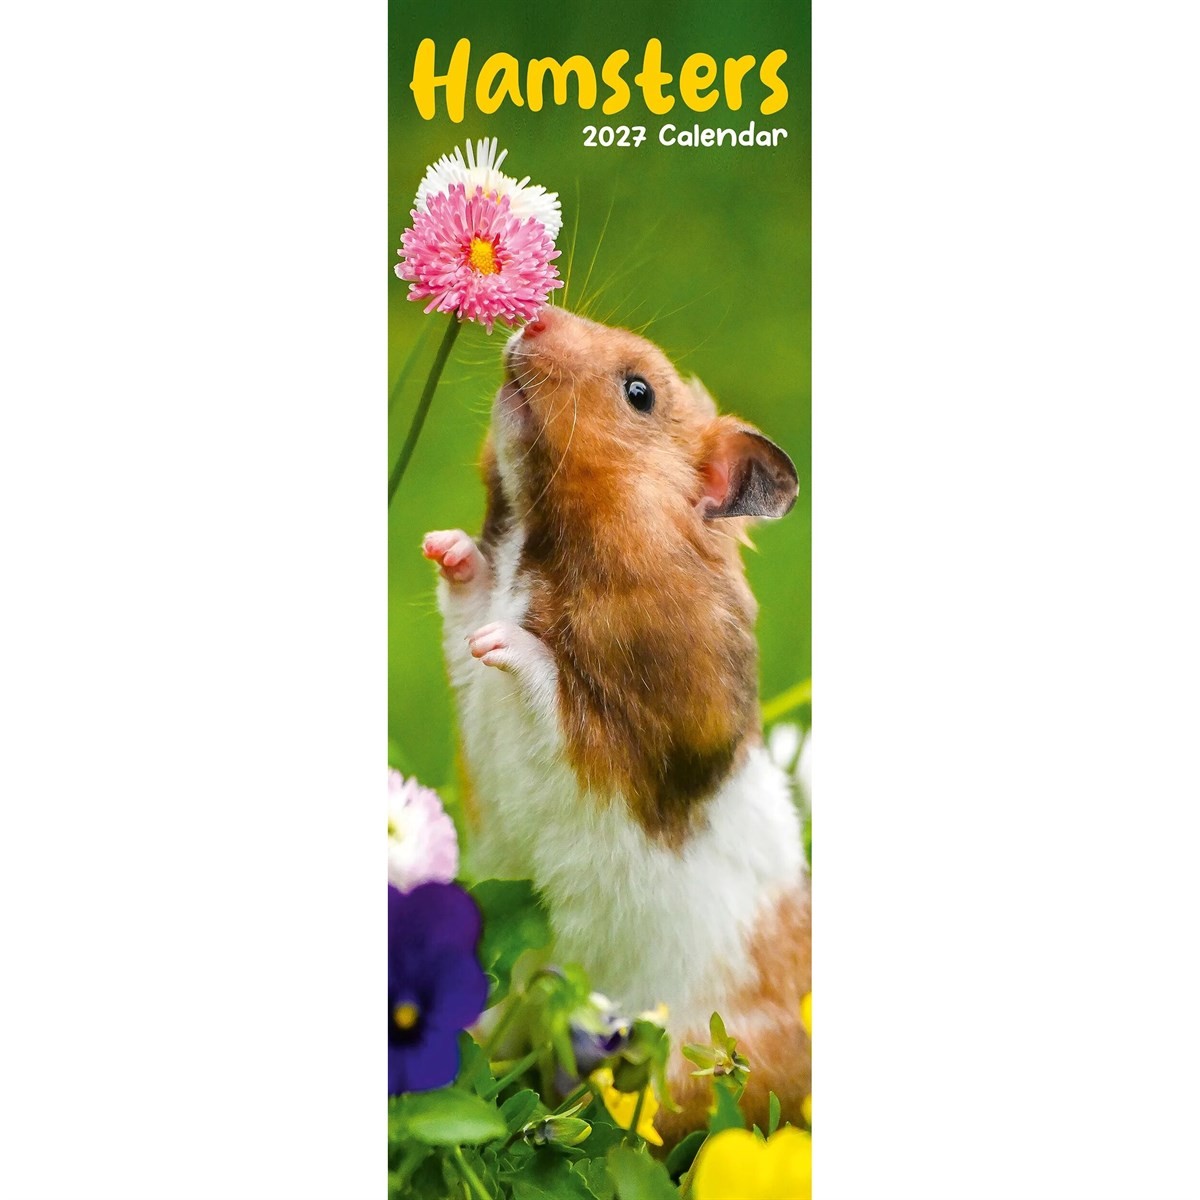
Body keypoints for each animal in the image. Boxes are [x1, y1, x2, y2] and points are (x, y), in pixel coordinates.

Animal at [423, 305, 810, 1140]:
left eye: (639, 392)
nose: (535, 315)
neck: (541, 543)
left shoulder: (627, 737)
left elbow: (549, 683)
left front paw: (504, 640)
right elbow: (466, 601)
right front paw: (443, 546)